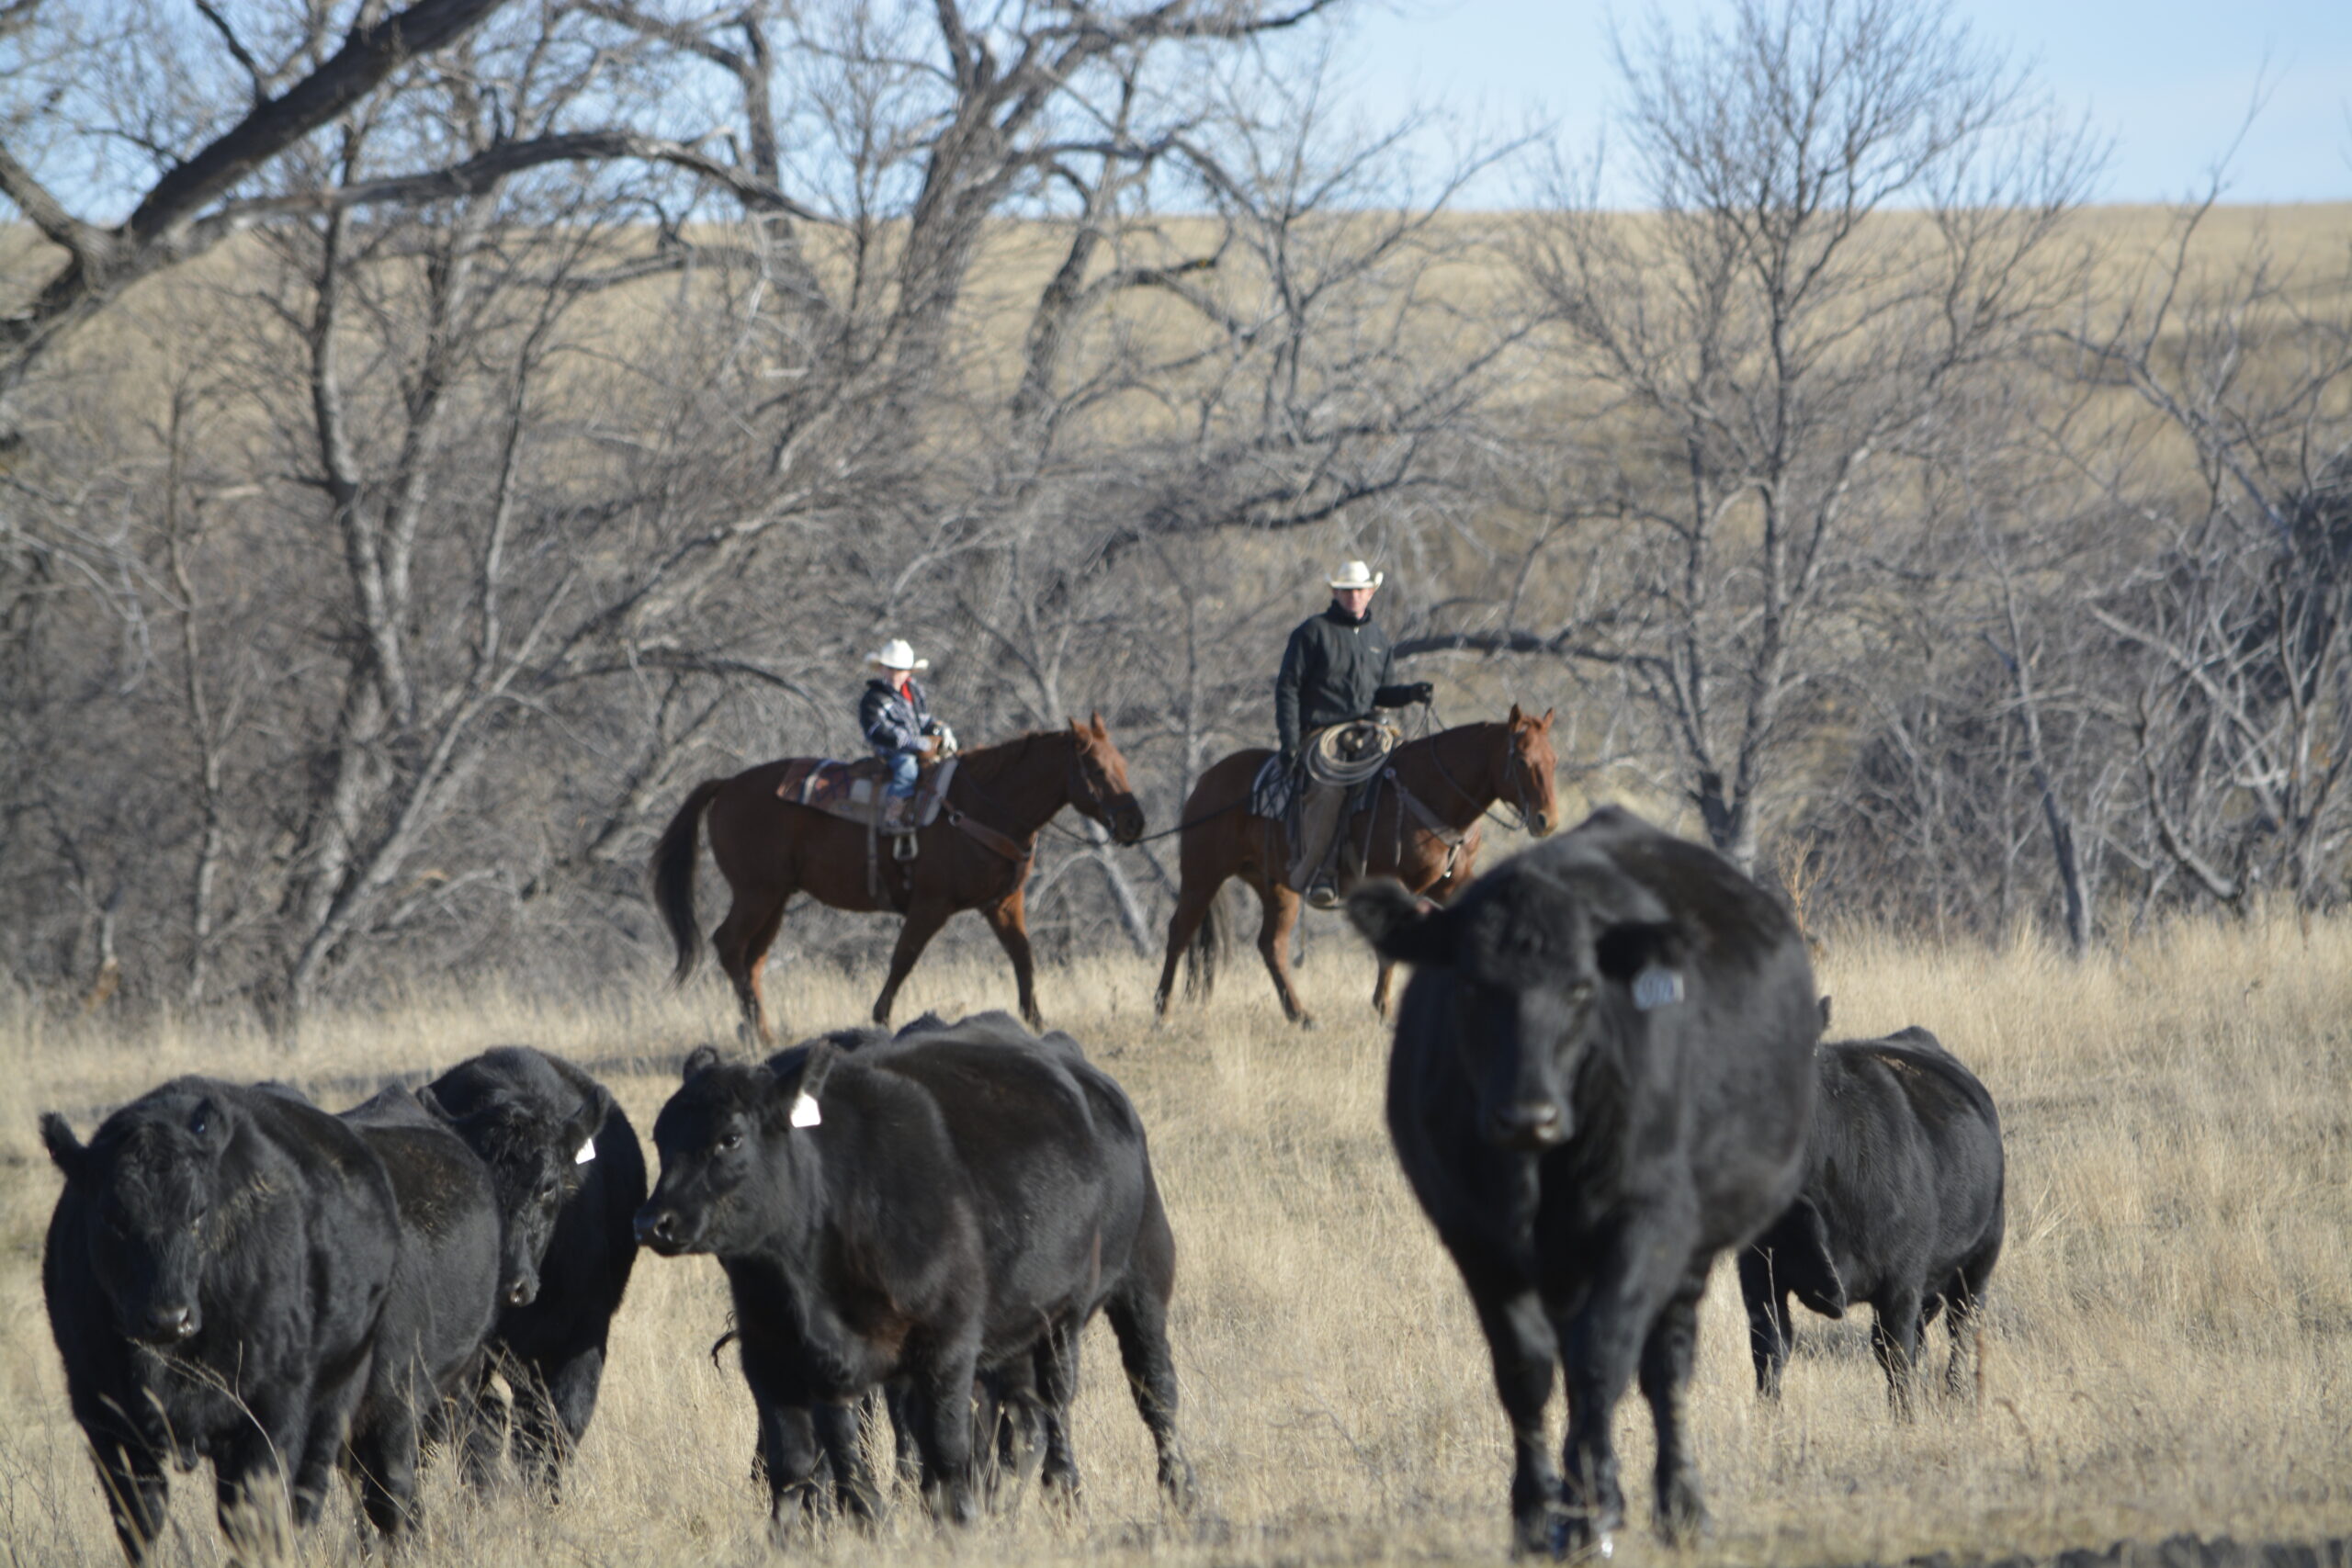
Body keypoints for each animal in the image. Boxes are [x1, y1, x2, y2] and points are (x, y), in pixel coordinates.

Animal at [652, 716, 1145, 1042]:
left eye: (1123, 762)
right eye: (1096, 769)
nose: (1134, 823)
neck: (982, 806)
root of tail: (726, 784)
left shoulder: (1003, 904)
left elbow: (1023, 956)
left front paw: (1037, 1020)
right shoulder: (931, 904)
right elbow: (904, 958)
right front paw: (881, 1018)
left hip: (775, 898)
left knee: (751, 959)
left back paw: (761, 1030)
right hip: (756, 893)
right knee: (729, 944)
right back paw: (760, 1034)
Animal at [1153, 706, 1559, 1028]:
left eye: (1553, 759)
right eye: (1521, 759)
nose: (1547, 820)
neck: (1428, 793)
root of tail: (1207, 779)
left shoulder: (1448, 882)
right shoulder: (1393, 882)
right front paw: (1385, 1011)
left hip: (1277, 886)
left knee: (1272, 945)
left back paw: (1301, 1015)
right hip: (1201, 876)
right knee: (1179, 933)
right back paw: (1163, 1012)